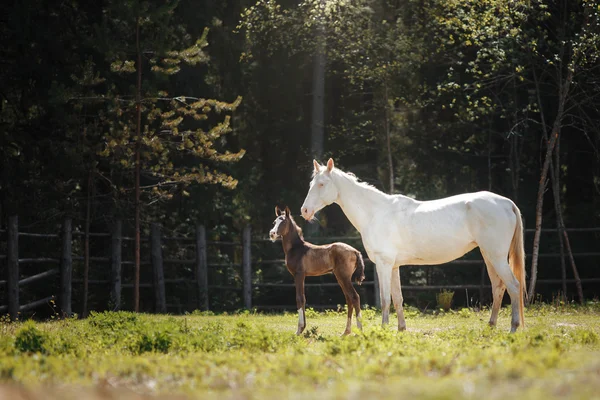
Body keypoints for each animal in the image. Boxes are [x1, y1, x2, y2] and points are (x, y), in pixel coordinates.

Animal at [268, 206, 366, 334]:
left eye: (283, 222)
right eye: (274, 222)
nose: (272, 234)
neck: (296, 248)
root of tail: (355, 251)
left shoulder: (299, 274)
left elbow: (299, 298)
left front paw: (299, 330)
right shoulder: (301, 275)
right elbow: (303, 298)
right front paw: (302, 328)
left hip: (344, 277)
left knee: (354, 297)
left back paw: (359, 331)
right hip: (341, 277)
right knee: (349, 299)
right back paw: (346, 332)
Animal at [300, 158, 524, 332]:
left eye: (322, 184)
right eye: (311, 183)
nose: (304, 211)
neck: (376, 212)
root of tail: (507, 203)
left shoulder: (384, 264)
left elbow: (385, 299)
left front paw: (383, 331)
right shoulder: (394, 266)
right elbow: (398, 299)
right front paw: (401, 329)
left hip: (496, 257)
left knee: (513, 286)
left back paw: (513, 328)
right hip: (489, 256)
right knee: (498, 287)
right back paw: (491, 326)